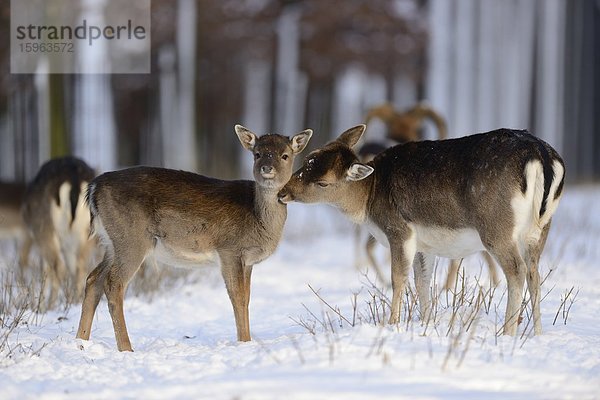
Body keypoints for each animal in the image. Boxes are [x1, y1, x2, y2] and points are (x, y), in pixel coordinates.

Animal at [21, 156, 96, 306]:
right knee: (80, 265)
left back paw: (51, 305)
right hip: (87, 231)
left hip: (44, 227)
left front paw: (41, 306)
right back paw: (76, 301)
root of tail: (73, 178)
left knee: (58, 265)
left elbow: (45, 269)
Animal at [76, 125, 314, 350]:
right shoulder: (229, 249)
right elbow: (237, 298)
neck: (257, 217)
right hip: (131, 238)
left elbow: (247, 298)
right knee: (113, 283)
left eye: (285, 155)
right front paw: (245, 341)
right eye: (257, 154)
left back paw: (81, 341)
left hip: (112, 241)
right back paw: (126, 347)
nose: (267, 168)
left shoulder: (247, 261)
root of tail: (94, 187)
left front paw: (246, 340)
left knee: (93, 278)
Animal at [278, 124, 564, 334]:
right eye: (310, 157)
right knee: (534, 273)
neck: (369, 201)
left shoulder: (399, 229)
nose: (283, 193)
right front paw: (426, 322)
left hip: (497, 228)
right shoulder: (425, 244)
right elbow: (423, 280)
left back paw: (507, 333)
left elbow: (398, 279)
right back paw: (537, 333)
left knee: (517, 271)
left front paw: (392, 323)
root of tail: (542, 157)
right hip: (540, 229)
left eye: (323, 183)